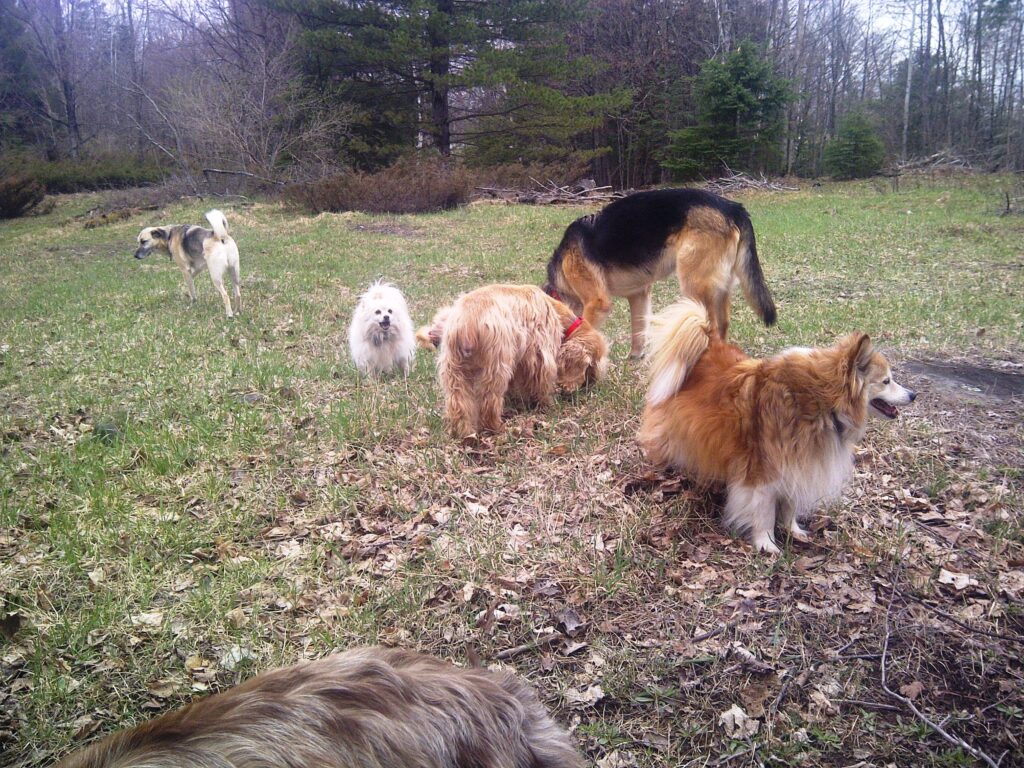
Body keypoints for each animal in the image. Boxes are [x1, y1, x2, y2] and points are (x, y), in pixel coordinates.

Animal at [425, 284, 606, 442]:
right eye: (590, 365)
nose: (592, 385)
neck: (556, 312)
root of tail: (466, 324)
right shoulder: (539, 356)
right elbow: (542, 383)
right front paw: (547, 405)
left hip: (454, 372)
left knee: (458, 403)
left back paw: (463, 432)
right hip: (496, 366)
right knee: (489, 402)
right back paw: (496, 427)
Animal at [634, 296, 917, 557]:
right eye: (886, 381)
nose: (913, 395)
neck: (819, 401)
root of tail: (707, 341)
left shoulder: (796, 464)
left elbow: (789, 507)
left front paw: (793, 530)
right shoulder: (762, 472)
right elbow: (764, 513)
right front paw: (766, 544)